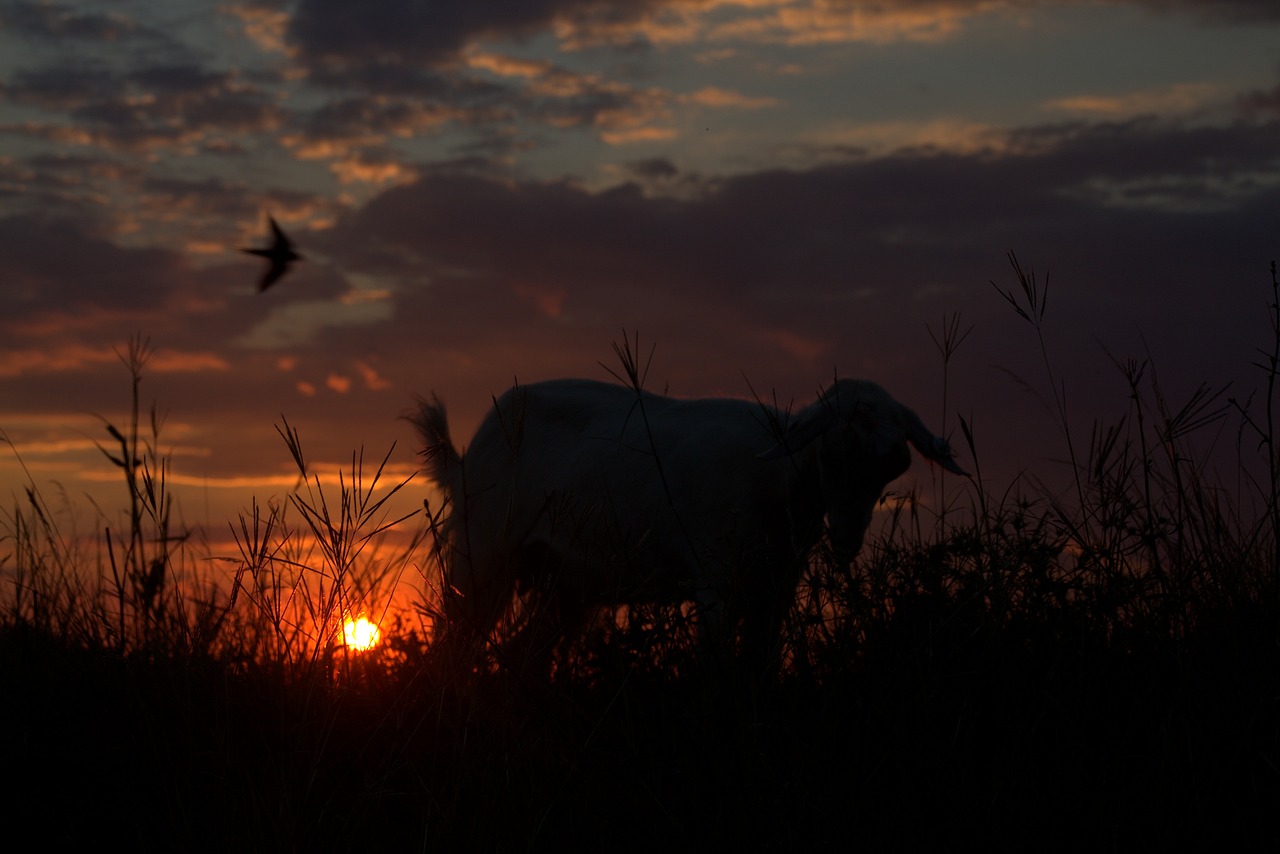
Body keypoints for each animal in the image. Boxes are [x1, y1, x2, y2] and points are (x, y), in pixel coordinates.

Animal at [414, 376, 962, 670]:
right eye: (830, 452)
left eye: (894, 465)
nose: (847, 538)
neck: (780, 477)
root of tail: (463, 457)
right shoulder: (715, 577)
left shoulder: (775, 587)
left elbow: (760, 663)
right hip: (482, 555)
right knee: (450, 648)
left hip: (564, 583)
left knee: (521, 652)